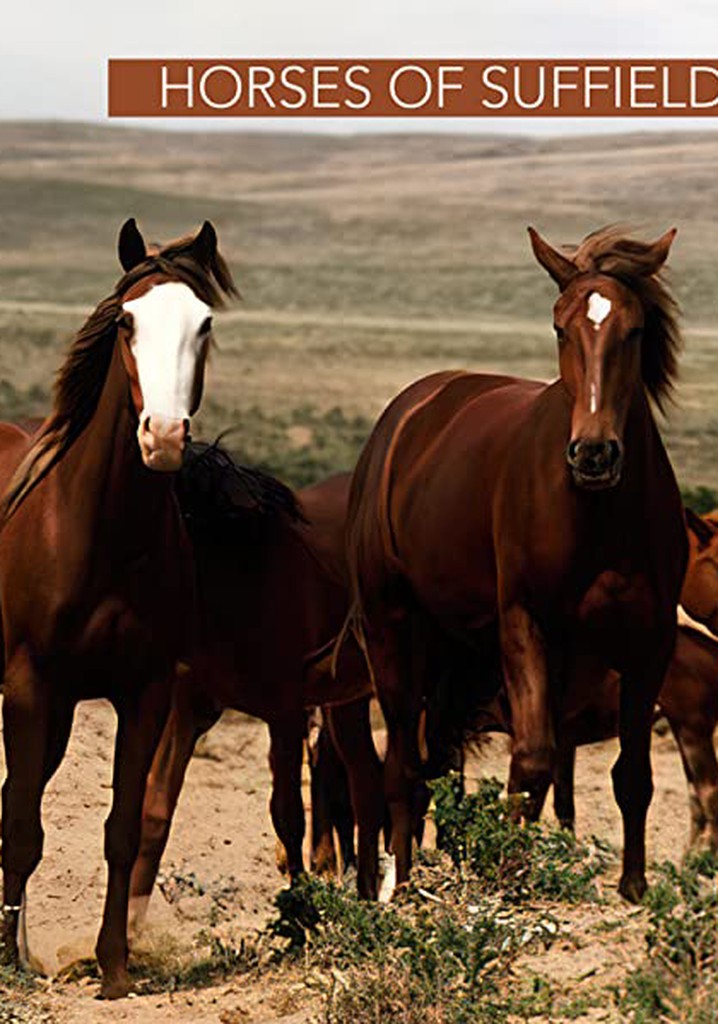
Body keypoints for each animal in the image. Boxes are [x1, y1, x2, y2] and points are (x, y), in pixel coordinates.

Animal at [0, 218, 237, 998]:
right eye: (128, 321)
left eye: (204, 323)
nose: (162, 438)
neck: (100, 535)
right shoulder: (28, 688)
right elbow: (23, 828)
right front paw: (5, 961)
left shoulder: (145, 693)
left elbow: (122, 832)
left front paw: (113, 969)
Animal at [126, 458, 383, 929]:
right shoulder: (187, 711)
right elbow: (155, 807)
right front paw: (130, 928)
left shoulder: (284, 714)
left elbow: (287, 814)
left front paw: (301, 913)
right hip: (340, 702)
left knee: (367, 781)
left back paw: (370, 895)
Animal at [343, 226, 688, 903]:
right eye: (559, 328)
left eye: (634, 330)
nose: (593, 454)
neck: (599, 515)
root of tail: (407, 416)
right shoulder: (524, 626)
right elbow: (530, 762)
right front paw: (510, 877)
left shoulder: (649, 643)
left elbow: (629, 772)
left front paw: (633, 886)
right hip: (391, 629)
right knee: (402, 765)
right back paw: (401, 885)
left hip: (457, 651)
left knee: (436, 761)